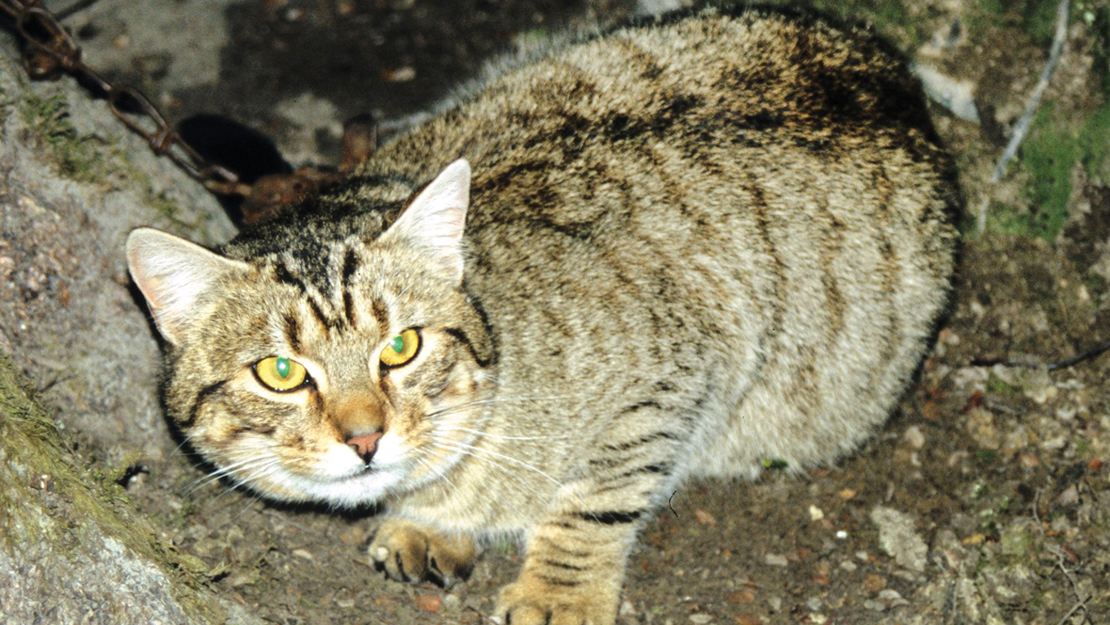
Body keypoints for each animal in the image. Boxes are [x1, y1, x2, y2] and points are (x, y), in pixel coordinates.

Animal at [127, 6, 963, 625]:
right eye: (280, 372)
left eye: (400, 347)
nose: (366, 437)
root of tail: (899, 79)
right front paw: (435, 521)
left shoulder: (676, 370)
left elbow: (595, 497)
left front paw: (558, 591)